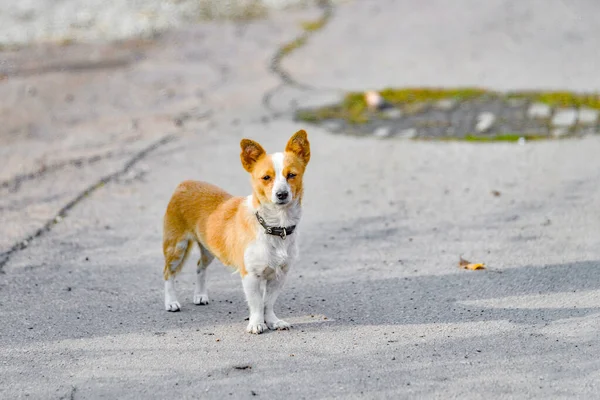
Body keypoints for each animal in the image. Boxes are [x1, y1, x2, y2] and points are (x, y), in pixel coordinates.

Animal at [161, 130, 310, 332]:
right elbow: (257, 303)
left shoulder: (279, 275)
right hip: (176, 247)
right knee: (168, 273)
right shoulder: (250, 276)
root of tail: (185, 183)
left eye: (292, 175)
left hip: (209, 250)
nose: (282, 194)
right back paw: (171, 302)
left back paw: (200, 295)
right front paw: (256, 324)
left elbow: (268, 302)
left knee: (200, 267)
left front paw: (272, 321)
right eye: (266, 177)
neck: (273, 225)